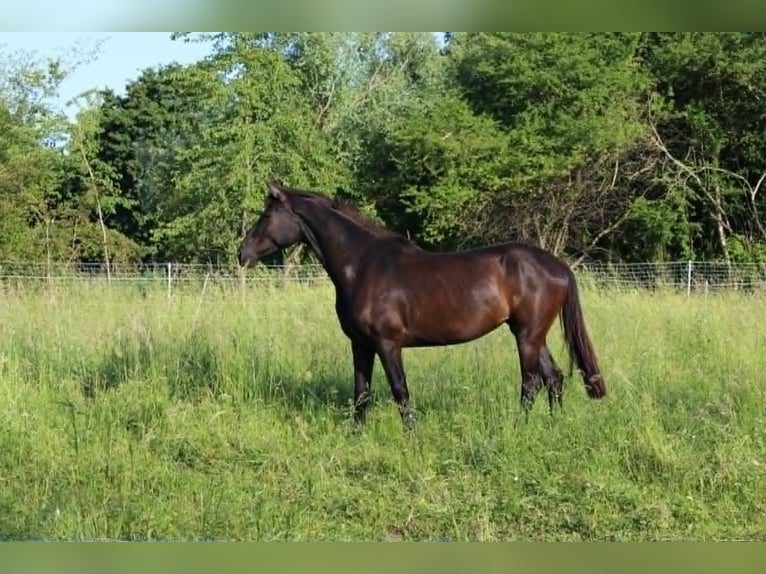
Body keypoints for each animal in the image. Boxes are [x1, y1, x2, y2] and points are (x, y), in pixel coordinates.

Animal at [237, 180, 606, 430]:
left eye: (267, 215)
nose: (243, 253)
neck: (363, 264)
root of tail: (558, 266)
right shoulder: (360, 344)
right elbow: (361, 392)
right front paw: (355, 436)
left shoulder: (387, 343)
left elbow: (400, 391)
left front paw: (410, 436)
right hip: (531, 333)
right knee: (554, 378)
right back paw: (553, 426)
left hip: (527, 336)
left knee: (531, 382)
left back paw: (519, 428)